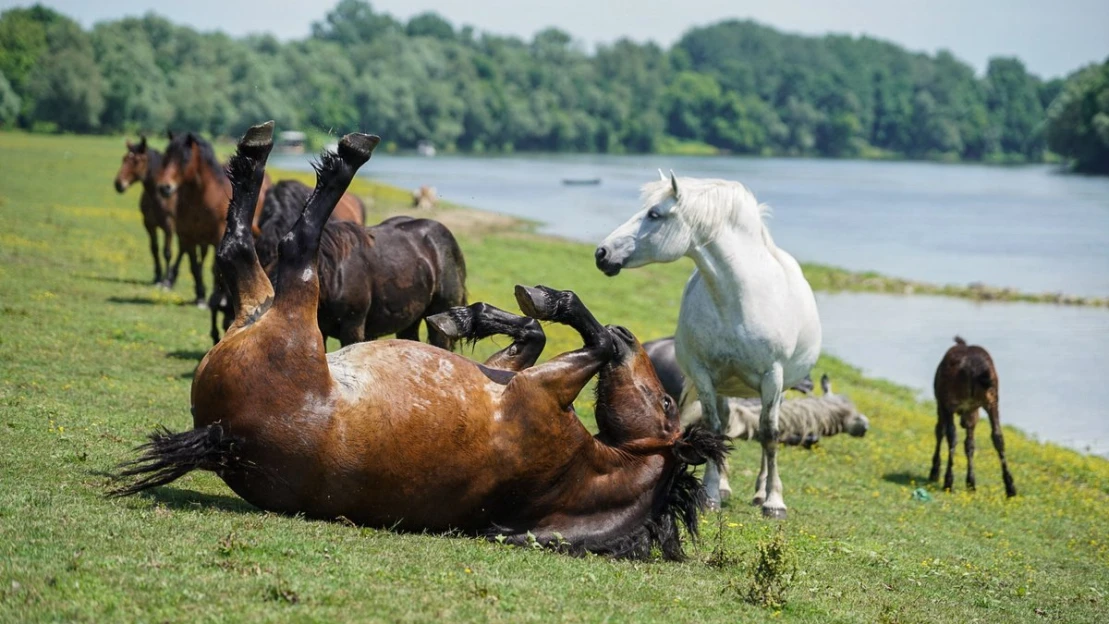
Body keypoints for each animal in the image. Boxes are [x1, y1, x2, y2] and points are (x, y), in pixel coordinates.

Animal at [112, 136, 179, 288]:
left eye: (136, 161)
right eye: (124, 158)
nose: (118, 184)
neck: (159, 195)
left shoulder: (169, 226)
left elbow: (167, 252)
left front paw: (165, 280)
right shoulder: (149, 224)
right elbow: (154, 248)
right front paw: (157, 276)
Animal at [155, 131, 271, 308]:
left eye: (184, 159)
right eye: (166, 157)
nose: (164, 187)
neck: (202, 199)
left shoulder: (217, 238)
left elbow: (215, 268)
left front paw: (219, 298)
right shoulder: (188, 237)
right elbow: (194, 266)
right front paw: (200, 296)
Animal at [598, 171, 825, 518]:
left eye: (654, 214)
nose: (602, 253)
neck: (739, 299)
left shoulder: (772, 378)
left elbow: (770, 435)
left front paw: (774, 501)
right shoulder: (704, 375)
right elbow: (714, 430)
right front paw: (711, 495)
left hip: (778, 388)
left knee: (767, 430)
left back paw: (759, 492)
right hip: (724, 386)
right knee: (725, 424)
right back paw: (727, 486)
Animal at [931, 336, 1015, 498]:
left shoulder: (943, 404)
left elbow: (941, 432)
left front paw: (935, 472)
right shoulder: (971, 411)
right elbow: (970, 444)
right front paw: (971, 482)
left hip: (950, 401)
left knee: (950, 435)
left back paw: (947, 481)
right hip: (991, 400)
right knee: (998, 436)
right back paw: (1010, 487)